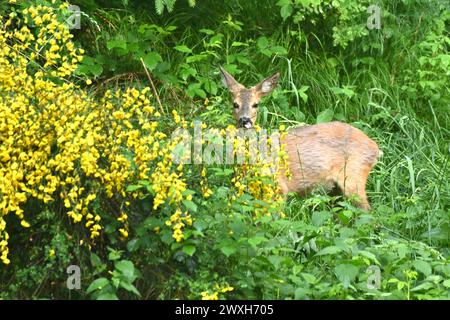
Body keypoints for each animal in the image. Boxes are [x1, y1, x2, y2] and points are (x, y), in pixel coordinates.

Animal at [220, 66, 382, 211]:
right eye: (235, 104)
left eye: (256, 104)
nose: (245, 120)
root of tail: (375, 147)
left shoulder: (279, 188)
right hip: (336, 190)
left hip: (354, 176)